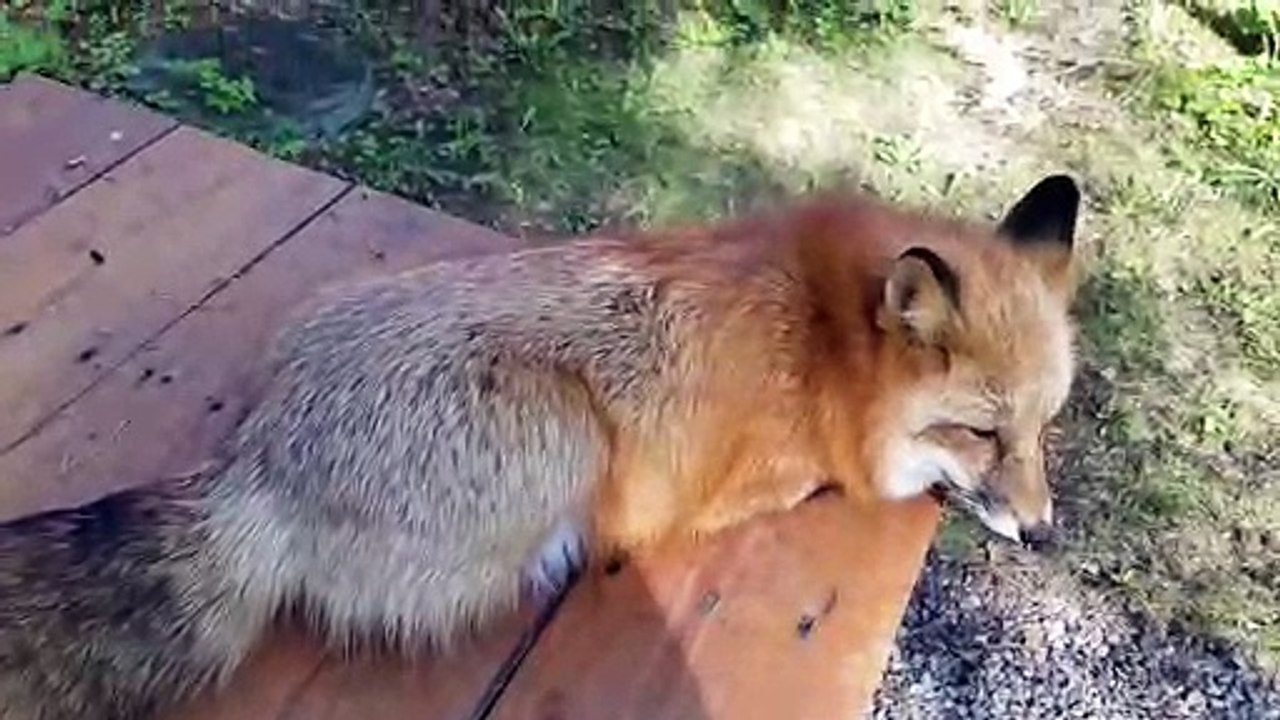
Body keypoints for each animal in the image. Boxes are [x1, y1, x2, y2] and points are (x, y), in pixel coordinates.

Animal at [0, 174, 1082, 720]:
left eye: (1042, 428)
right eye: (980, 433)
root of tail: (257, 469)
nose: (1043, 534)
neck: (822, 343)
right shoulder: (756, 478)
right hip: (569, 433)